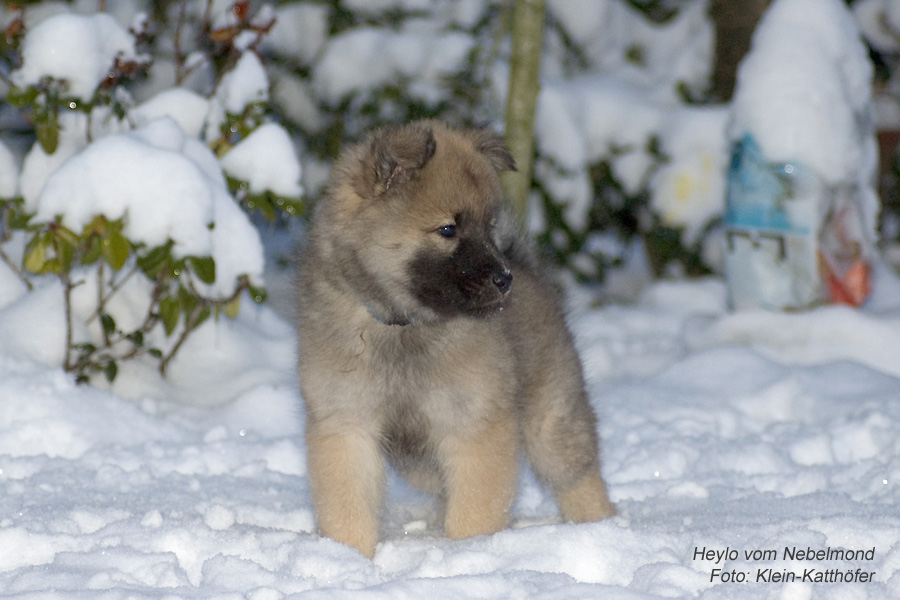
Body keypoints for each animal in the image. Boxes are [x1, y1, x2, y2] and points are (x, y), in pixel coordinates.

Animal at [296, 120, 614, 558]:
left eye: (489, 226)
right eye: (448, 229)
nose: (504, 279)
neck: (405, 327)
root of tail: (528, 269)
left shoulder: (472, 426)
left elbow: (476, 507)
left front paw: (469, 552)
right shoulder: (346, 426)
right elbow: (347, 506)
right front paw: (347, 557)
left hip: (551, 424)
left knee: (578, 476)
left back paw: (600, 528)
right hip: (420, 461)